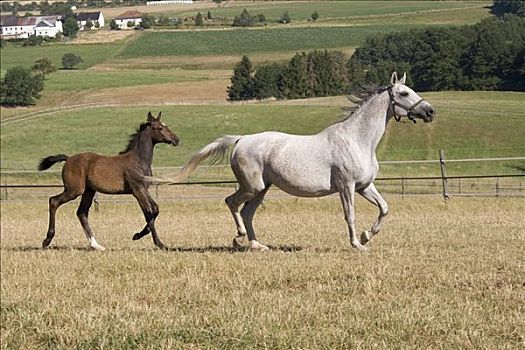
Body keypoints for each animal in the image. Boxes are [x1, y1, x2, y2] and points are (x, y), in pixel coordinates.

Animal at [158, 72, 436, 252]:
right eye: (403, 93)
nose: (430, 111)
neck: (357, 139)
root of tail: (240, 139)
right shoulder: (346, 187)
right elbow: (350, 215)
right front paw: (357, 244)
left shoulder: (364, 186)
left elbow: (384, 208)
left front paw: (367, 236)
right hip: (253, 186)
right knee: (232, 203)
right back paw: (239, 239)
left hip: (262, 188)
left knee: (247, 211)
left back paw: (257, 245)